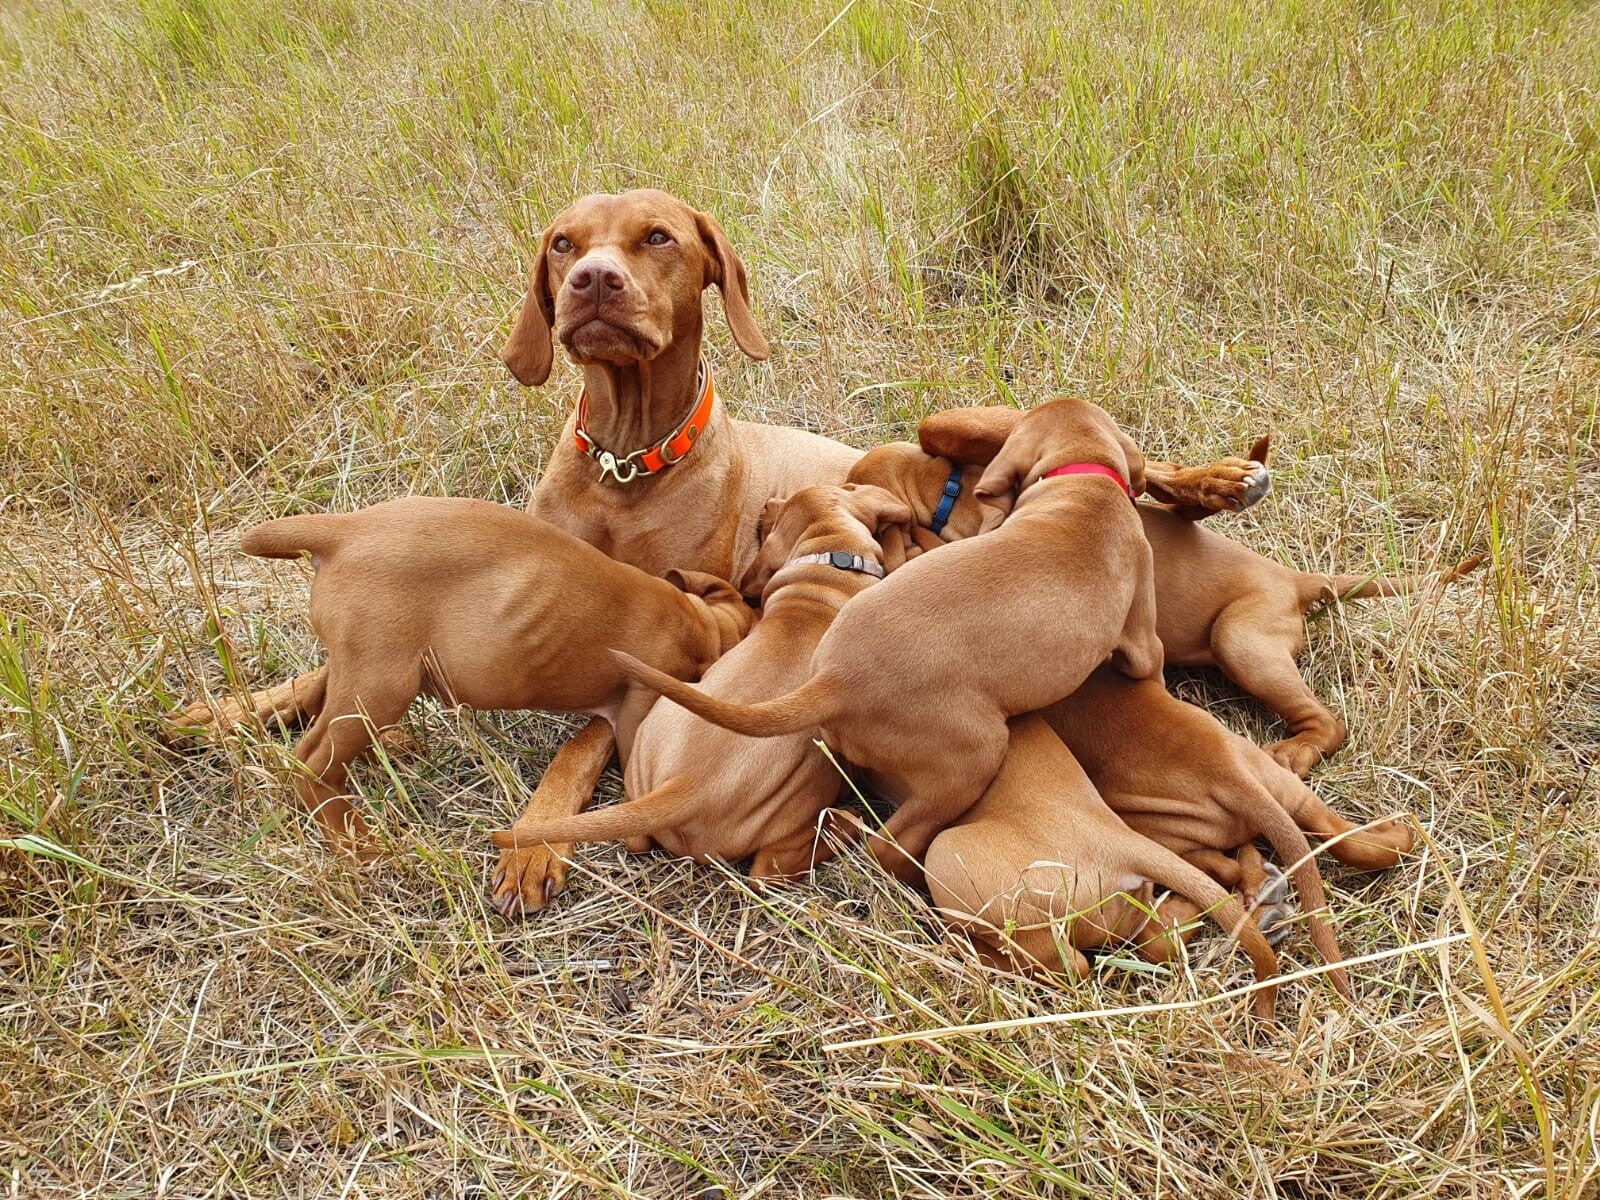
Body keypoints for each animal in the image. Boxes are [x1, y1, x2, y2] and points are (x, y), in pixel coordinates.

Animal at [238, 496, 753, 857]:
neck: (701, 625)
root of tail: (343, 530)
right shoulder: (639, 706)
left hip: (359, 668)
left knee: (318, 708)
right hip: (382, 683)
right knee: (312, 760)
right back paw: (356, 843)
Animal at [488, 484, 910, 885]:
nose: (768, 503)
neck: (832, 563)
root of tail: (686, 786)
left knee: (636, 840)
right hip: (810, 786)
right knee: (766, 872)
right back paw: (844, 827)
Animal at [612, 397, 1164, 883]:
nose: (767, 505)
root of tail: (837, 680)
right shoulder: (1143, 641)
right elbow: (1147, 664)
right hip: (971, 758)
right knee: (880, 849)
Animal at [924, 715, 1283, 1020]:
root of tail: (1112, 840)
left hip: (948, 859)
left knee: (1069, 966)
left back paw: (968, 952)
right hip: (1130, 908)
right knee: (1157, 939)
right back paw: (1185, 909)